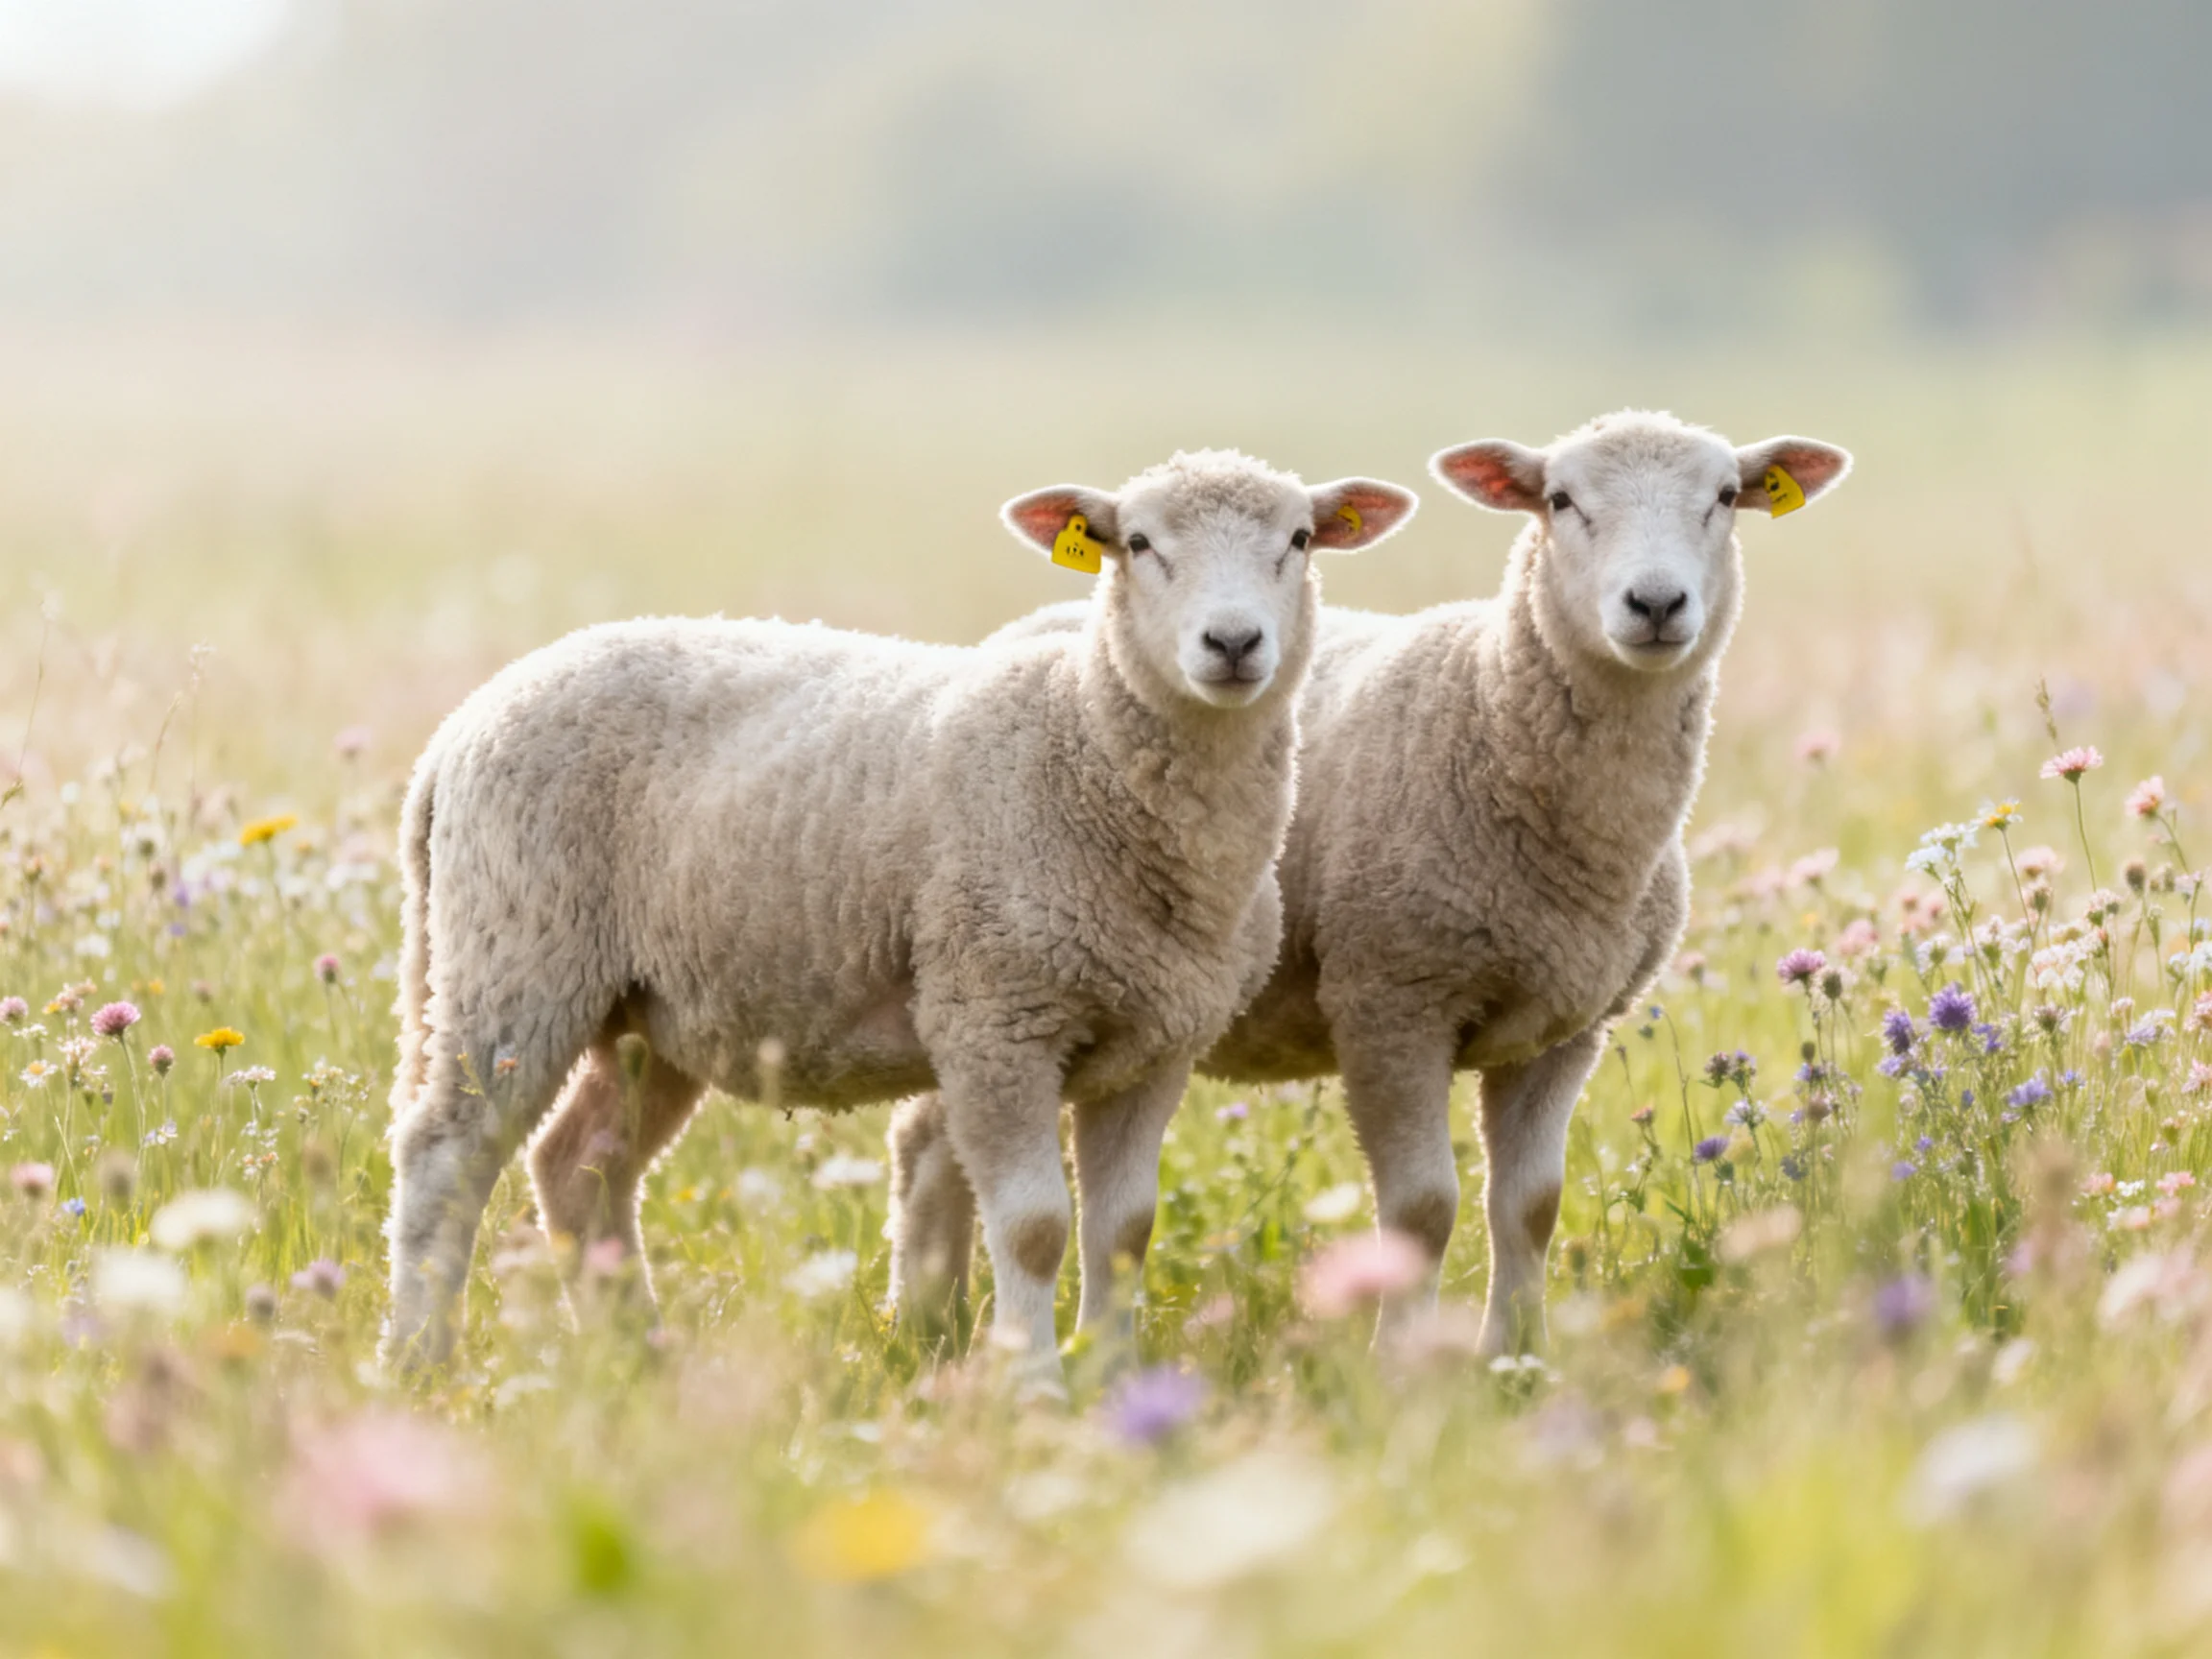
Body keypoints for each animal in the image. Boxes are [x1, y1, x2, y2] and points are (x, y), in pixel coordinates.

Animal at [380, 449, 1418, 1388]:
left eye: (1298, 540)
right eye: (1137, 543)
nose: (1233, 644)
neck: (1085, 740)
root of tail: (459, 728)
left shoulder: (1157, 1043)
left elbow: (1123, 1231)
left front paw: (1118, 1385)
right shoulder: (995, 1019)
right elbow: (1034, 1228)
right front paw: (1034, 1388)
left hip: (645, 1010)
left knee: (579, 1165)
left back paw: (636, 1353)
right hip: (515, 958)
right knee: (444, 1157)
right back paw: (422, 1361)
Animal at [887, 412, 1851, 1356]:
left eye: (1724, 497)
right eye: (1561, 500)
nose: (1655, 605)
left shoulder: (1567, 1029)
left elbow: (1530, 1207)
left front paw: (1517, 1356)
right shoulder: (1392, 999)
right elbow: (1423, 1211)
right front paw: (1403, 1367)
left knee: (935, 1139)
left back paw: (934, 1328)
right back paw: (929, 1329)